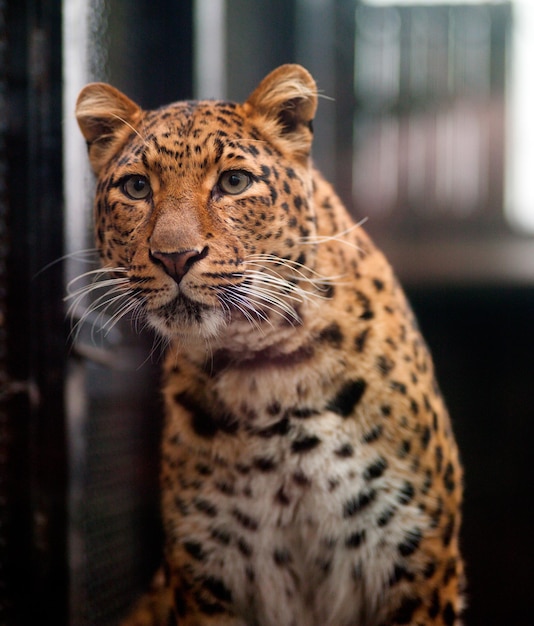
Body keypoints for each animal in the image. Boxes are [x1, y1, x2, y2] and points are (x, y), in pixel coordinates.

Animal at [75, 63, 464, 624]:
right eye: (136, 187)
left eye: (234, 182)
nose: (175, 257)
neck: (266, 373)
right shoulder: (208, 577)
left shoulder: (419, 563)